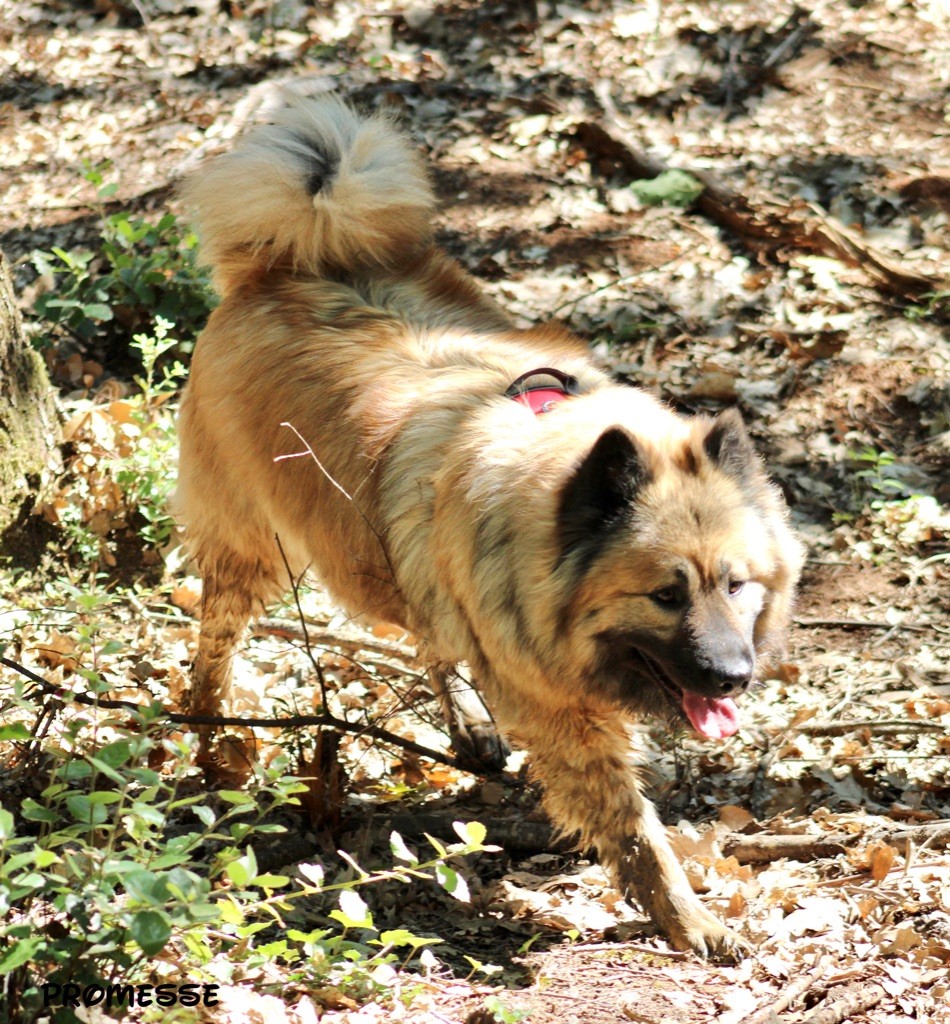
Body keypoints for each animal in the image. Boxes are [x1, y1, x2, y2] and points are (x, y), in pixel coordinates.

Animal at [176, 90, 802, 958]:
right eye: (666, 595)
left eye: (737, 586)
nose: (734, 677)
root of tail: (285, 265)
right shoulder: (564, 719)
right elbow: (638, 833)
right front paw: (688, 919)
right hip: (259, 551)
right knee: (215, 645)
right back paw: (215, 746)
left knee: (427, 630)